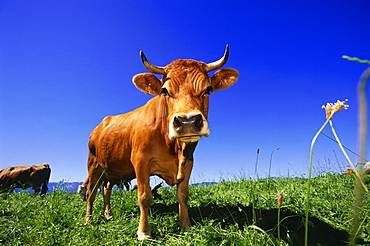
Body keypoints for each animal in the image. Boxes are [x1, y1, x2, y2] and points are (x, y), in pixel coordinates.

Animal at [84, 44, 240, 240]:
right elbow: (144, 197)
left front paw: (186, 226)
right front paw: (144, 232)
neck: (174, 147)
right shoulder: (140, 161)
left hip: (110, 169)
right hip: (94, 165)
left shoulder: (189, 162)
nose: (187, 122)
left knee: (106, 191)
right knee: (90, 193)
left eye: (208, 90)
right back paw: (87, 220)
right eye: (165, 91)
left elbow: (183, 195)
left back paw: (108, 215)